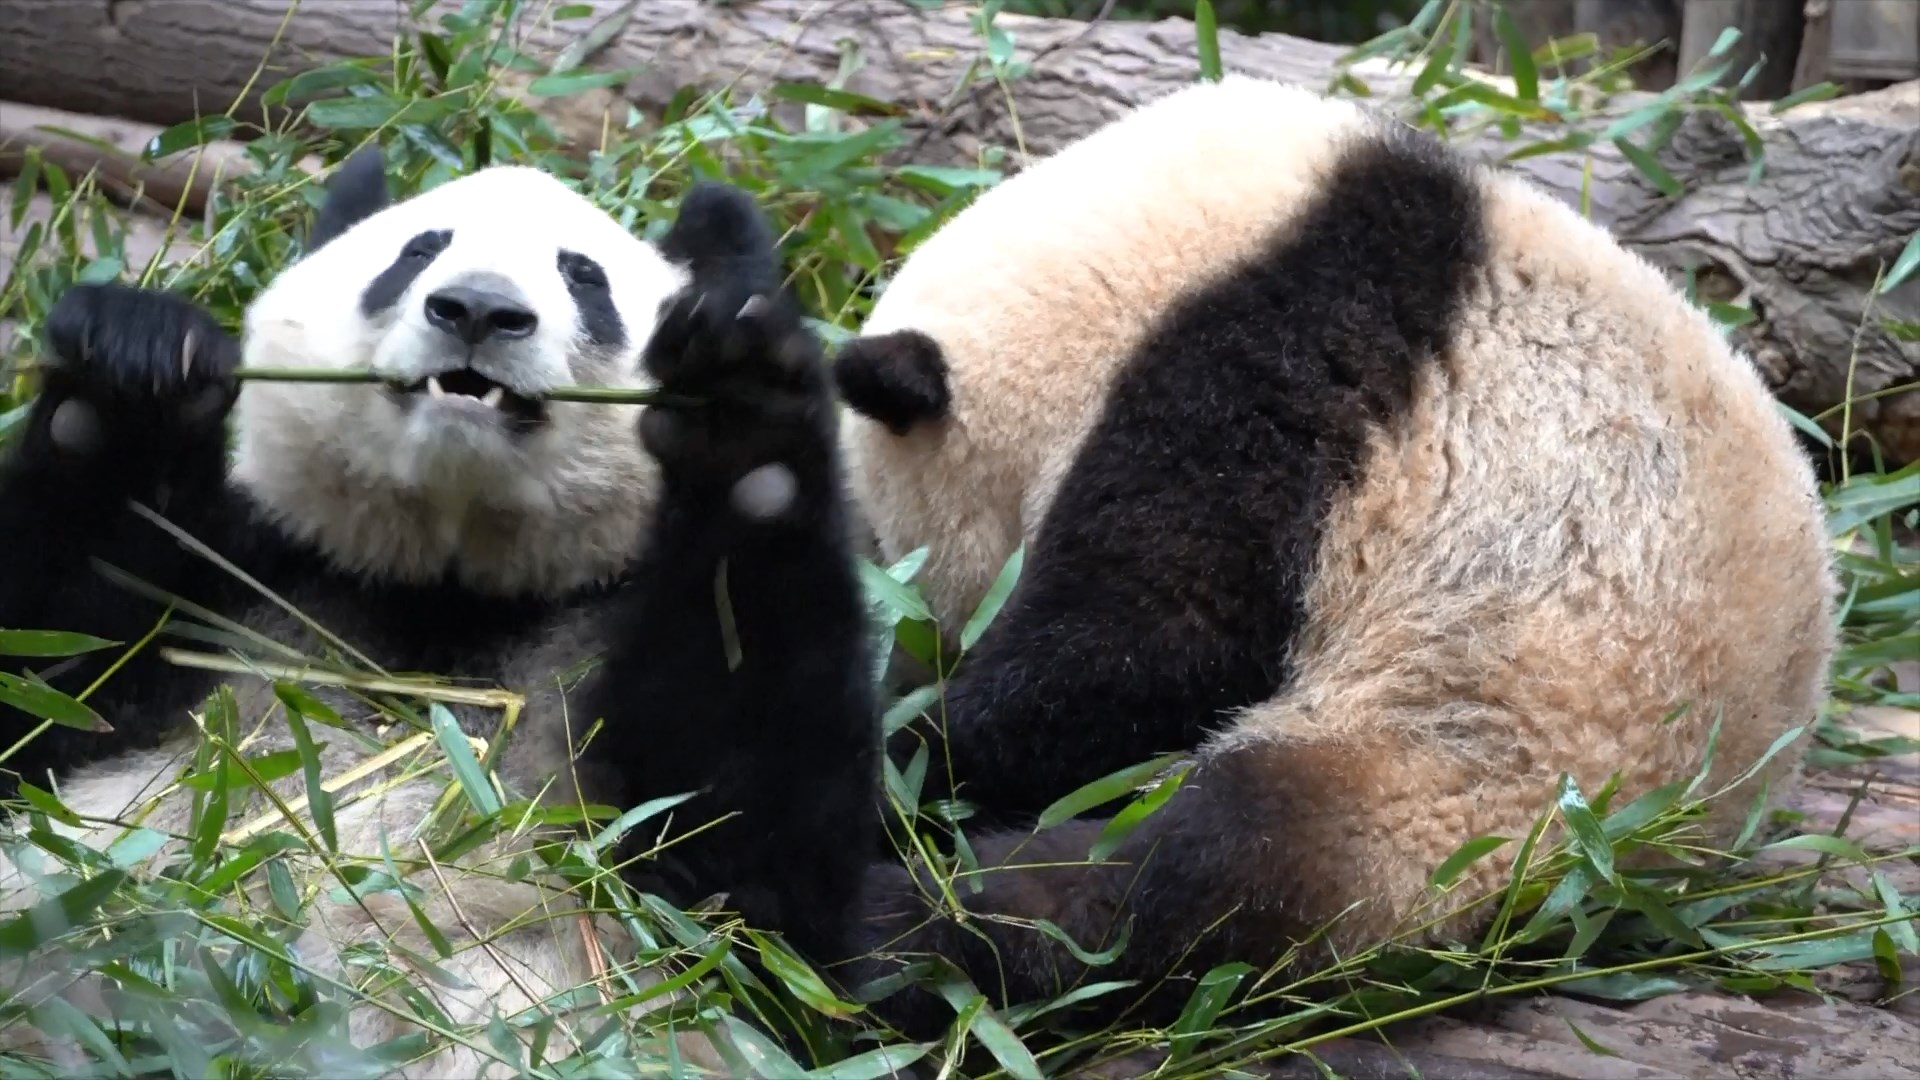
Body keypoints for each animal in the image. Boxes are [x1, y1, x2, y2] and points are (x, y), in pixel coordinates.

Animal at [0, 148, 879, 1075]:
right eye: (417, 251)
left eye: (585, 276)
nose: (479, 310)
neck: (451, 586)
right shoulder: (254, 583)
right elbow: (48, 679)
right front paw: (129, 375)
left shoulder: (602, 633)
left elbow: (749, 898)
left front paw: (740, 417)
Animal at [833, 74, 1838, 1036]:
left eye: (886, 546)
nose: (911, 655)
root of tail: (1651, 860)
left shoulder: (1264, 388)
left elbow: (1142, 654)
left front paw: (909, 746)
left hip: (1480, 766)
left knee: (1179, 878)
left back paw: (884, 928)